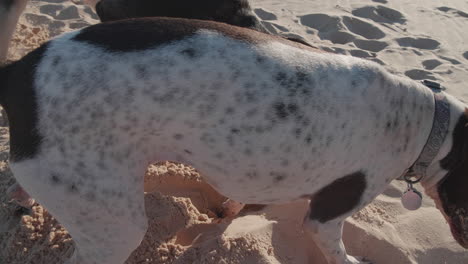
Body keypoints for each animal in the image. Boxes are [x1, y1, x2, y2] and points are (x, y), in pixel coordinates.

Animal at [0, 0, 466, 264]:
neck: (426, 121)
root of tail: (19, 72)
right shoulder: (324, 217)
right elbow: (336, 251)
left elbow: (235, 207)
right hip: (114, 227)